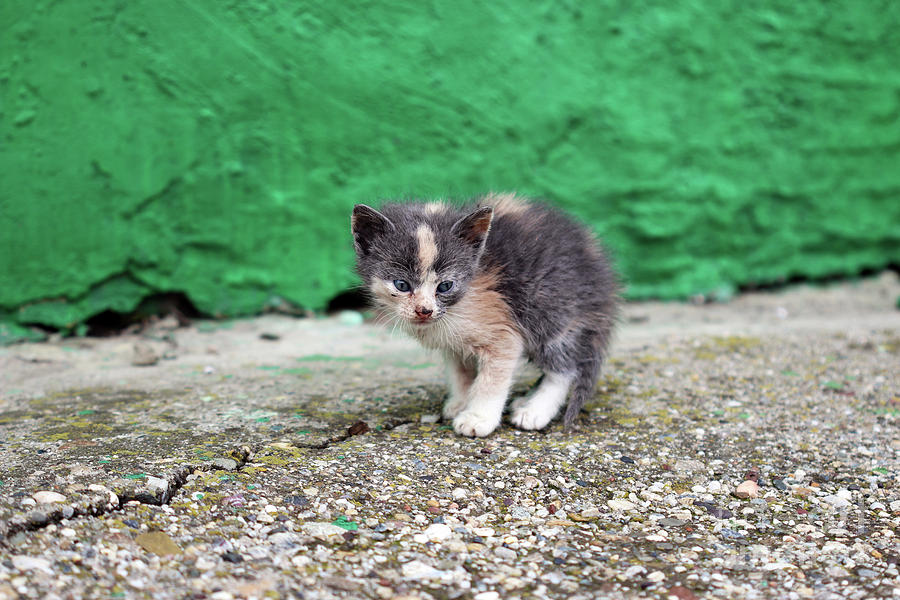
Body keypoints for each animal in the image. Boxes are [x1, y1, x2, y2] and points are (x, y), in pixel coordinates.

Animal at [352, 195, 620, 438]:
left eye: (445, 286)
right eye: (401, 285)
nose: (424, 310)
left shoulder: (503, 331)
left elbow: (491, 381)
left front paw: (478, 417)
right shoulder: (453, 345)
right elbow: (460, 373)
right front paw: (461, 402)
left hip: (551, 310)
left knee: (564, 368)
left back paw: (535, 410)